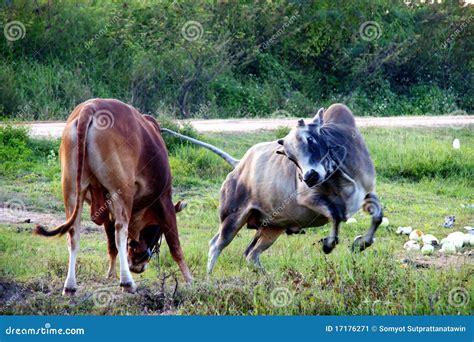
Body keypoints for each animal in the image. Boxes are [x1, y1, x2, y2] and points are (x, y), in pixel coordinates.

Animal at [33, 97, 193, 292]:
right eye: (157, 232)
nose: (136, 265)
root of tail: (89, 108)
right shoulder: (164, 199)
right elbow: (175, 245)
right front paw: (190, 278)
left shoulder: (105, 206)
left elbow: (111, 246)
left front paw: (110, 274)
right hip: (122, 191)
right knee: (120, 231)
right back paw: (127, 282)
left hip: (71, 189)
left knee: (73, 233)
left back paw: (70, 285)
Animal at [161, 103, 384, 274]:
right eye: (289, 156)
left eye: (310, 139)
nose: (309, 177)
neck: (339, 173)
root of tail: (239, 165)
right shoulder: (309, 198)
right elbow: (335, 215)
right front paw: (329, 244)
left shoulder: (366, 192)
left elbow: (377, 216)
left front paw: (360, 243)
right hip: (232, 219)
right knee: (216, 244)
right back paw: (208, 278)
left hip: (272, 226)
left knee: (251, 254)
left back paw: (266, 278)